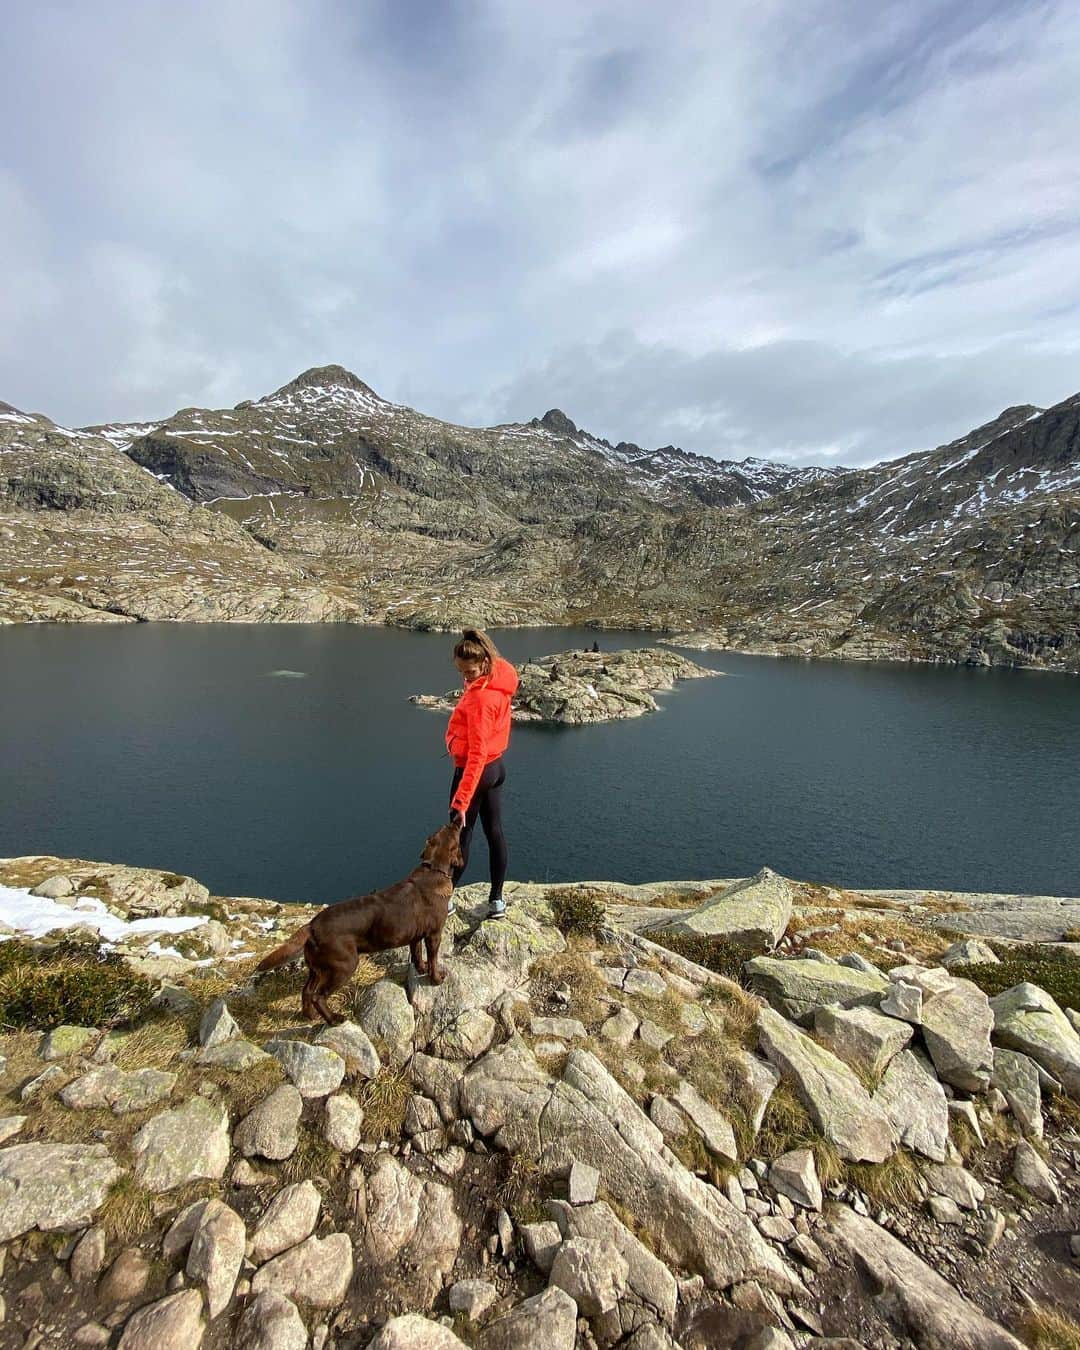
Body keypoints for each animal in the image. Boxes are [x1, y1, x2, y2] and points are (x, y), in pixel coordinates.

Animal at [255, 820, 461, 1020]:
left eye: (443, 828)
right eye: (454, 832)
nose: (456, 821)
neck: (433, 869)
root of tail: (312, 926)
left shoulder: (416, 936)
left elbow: (417, 956)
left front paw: (421, 968)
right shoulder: (434, 934)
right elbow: (433, 959)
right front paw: (436, 979)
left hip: (317, 968)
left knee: (307, 991)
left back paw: (310, 1016)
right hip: (344, 966)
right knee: (318, 996)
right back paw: (334, 1019)